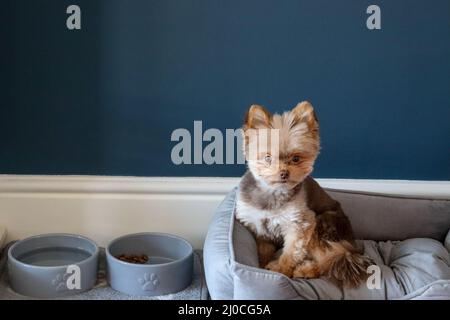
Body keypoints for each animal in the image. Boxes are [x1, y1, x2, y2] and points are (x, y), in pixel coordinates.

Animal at [236, 102, 372, 288]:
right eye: (268, 158)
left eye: (296, 158)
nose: (284, 173)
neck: (273, 194)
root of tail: (352, 244)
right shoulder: (258, 226)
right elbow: (263, 250)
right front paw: (262, 265)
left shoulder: (301, 223)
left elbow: (291, 252)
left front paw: (279, 271)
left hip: (323, 224)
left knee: (328, 260)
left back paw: (306, 270)